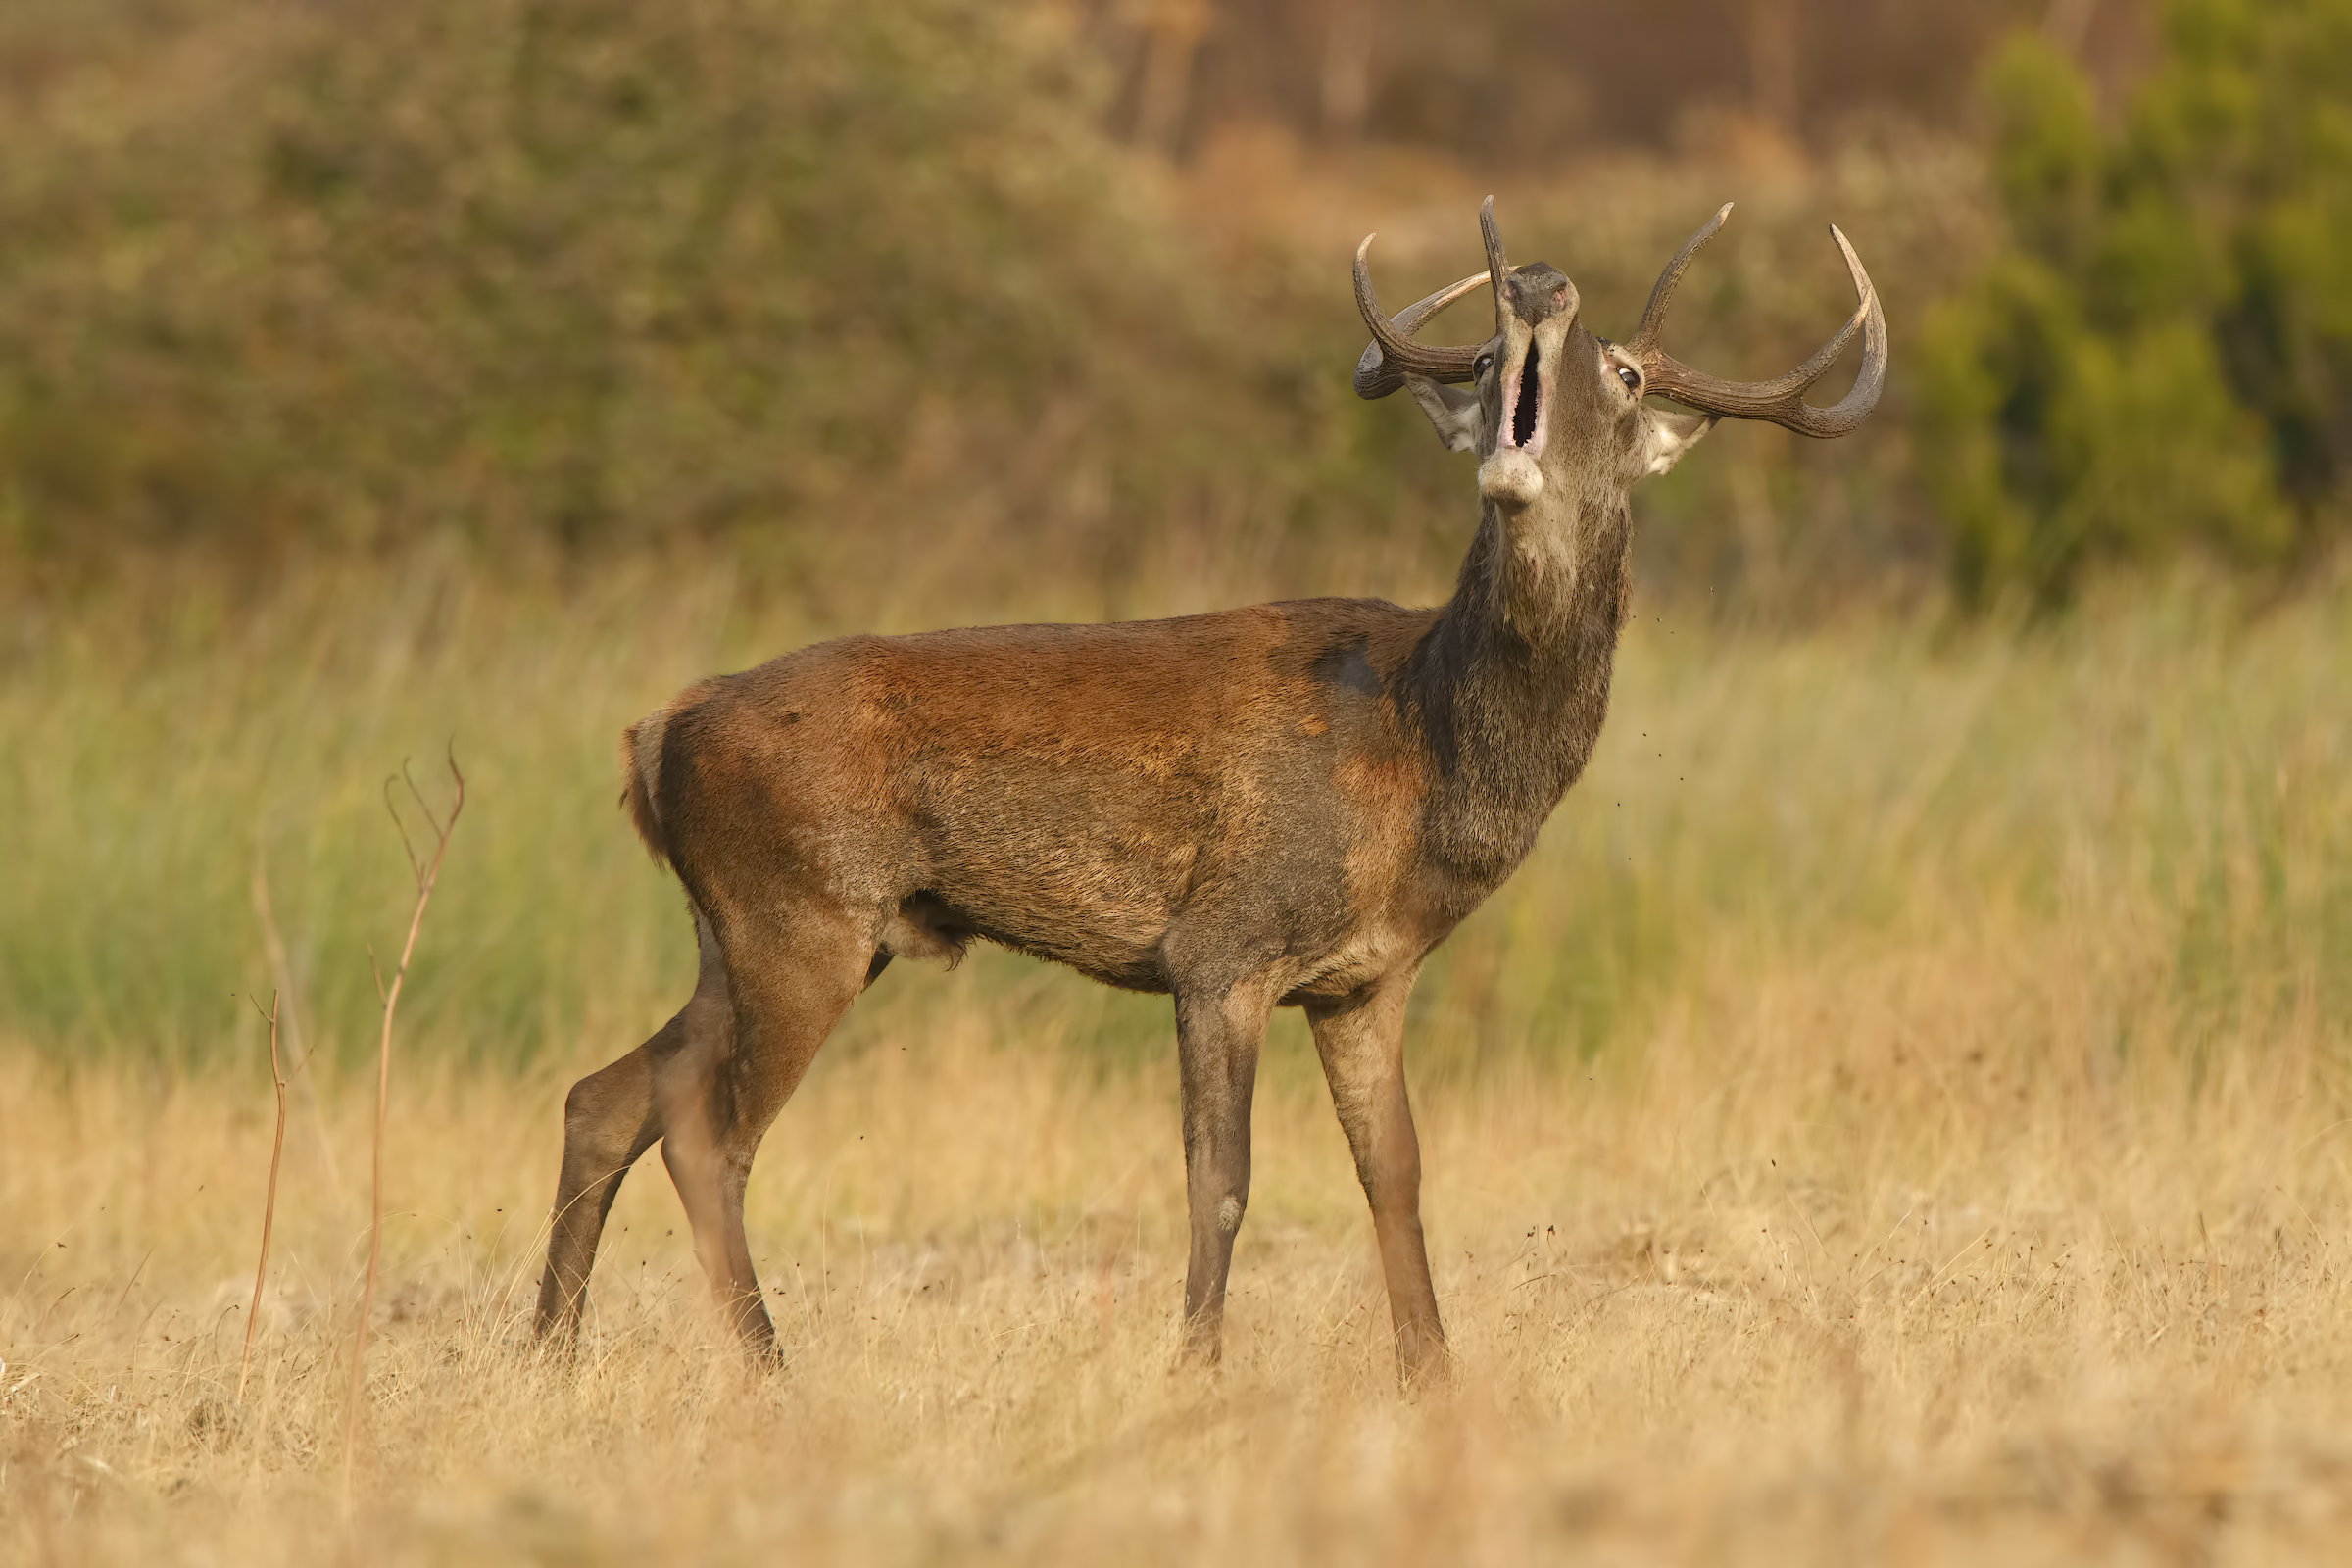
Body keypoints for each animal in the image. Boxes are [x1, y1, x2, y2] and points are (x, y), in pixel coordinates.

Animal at [534, 197, 1886, 1379]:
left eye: (1631, 378)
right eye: (1486, 351)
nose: (1539, 286)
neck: (1429, 757)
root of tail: (657, 731)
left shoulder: (1365, 978)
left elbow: (1396, 1175)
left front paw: (1434, 1379)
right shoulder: (1223, 946)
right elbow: (1221, 1181)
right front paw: (1197, 1374)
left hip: (757, 930)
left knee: (610, 1094)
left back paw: (547, 1355)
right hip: (799, 916)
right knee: (709, 1141)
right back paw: (772, 1374)